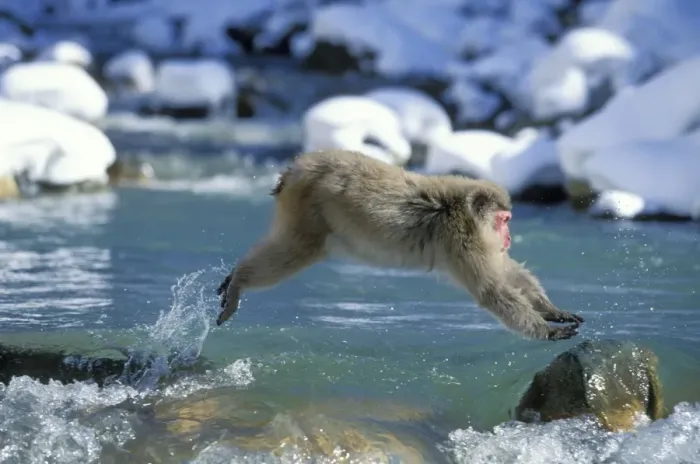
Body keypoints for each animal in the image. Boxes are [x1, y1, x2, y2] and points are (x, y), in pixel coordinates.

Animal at [215, 149, 584, 341]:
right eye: (504, 219)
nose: (507, 237)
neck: (460, 209)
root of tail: (295, 169)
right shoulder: (463, 238)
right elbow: (491, 289)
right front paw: (547, 331)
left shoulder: (478, 241)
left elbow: (505, 271)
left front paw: (552, 310)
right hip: (307, 210)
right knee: (297, 250)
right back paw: (241, 280)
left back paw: (234, 277)